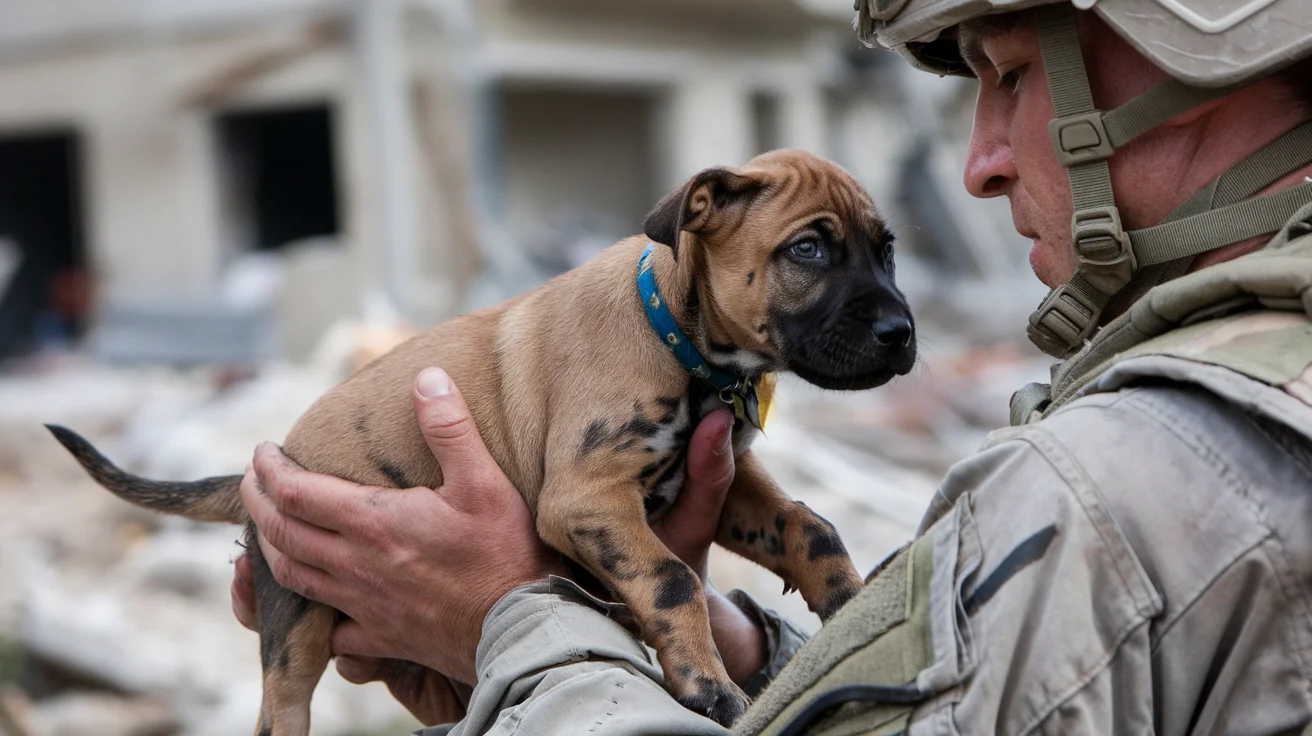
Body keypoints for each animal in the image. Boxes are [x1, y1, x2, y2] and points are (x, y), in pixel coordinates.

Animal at [48, 147, 913, 729]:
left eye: (888, 248)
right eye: (808, 249)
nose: (903, 334)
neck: (680, 335)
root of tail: (266, 467)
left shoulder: (724, 481)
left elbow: (811, 526)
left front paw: (855, 603)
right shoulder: (587, 497)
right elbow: (673, 578)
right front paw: (708, 684)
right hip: (292, 627)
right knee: (282, 708)